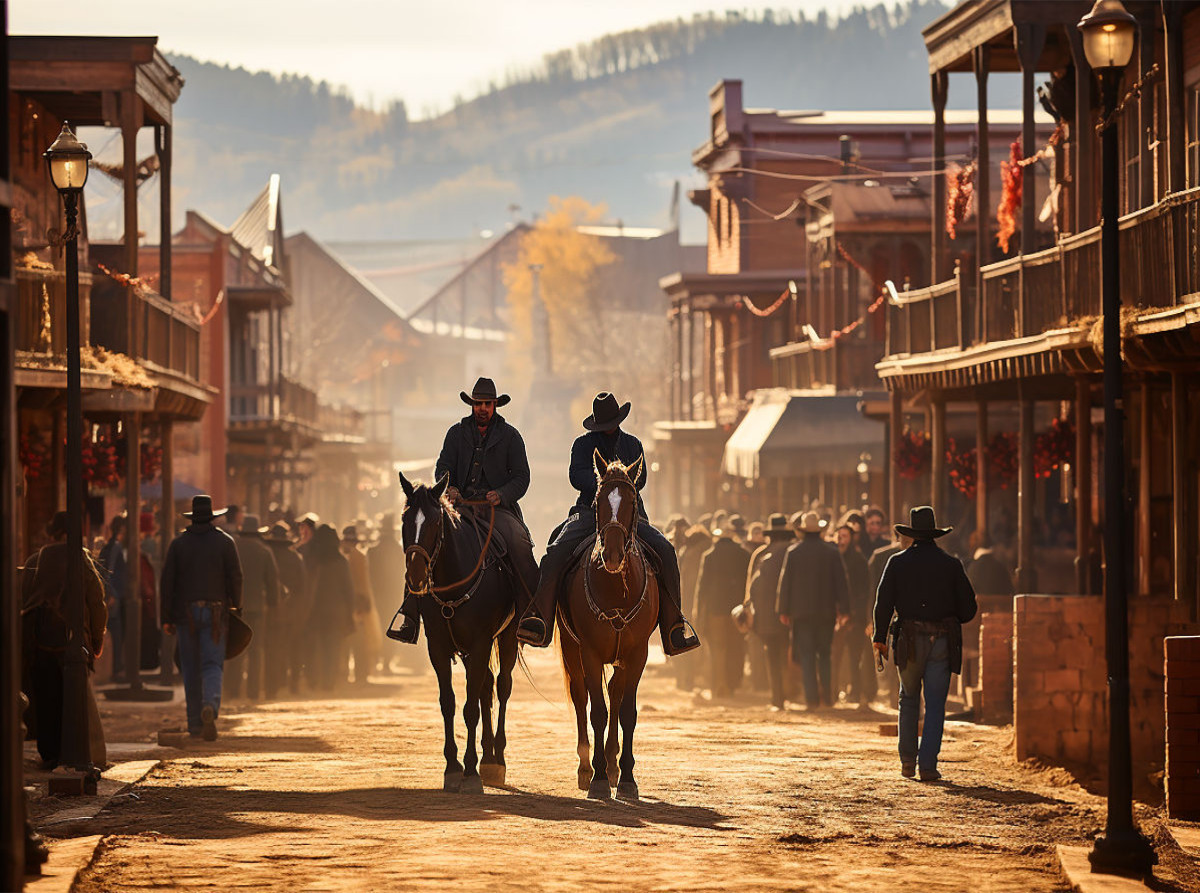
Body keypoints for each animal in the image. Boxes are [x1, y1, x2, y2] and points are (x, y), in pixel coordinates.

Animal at [400, 470, 518, 792]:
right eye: (405, 520)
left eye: (434, 522)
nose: (416, 576)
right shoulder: (439, 648)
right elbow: (449, 703)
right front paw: (453, 767)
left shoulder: (479, 643)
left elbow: (470, 708)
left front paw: (470, 770)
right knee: (486, 688)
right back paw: (488, 757)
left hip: (508, 636)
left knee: (502, 686)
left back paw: (497, 759)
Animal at [556, 453, 662, 801]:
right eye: (600, 500)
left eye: (631, 501)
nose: (612, 556)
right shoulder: (588, 653)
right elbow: (597, 712)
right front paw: (599, 779)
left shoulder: (637, 654)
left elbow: (626, 712)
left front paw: (626, 778)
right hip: (570, 648)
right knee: (580, 697)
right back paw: (586, 767)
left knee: (615, 694)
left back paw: (614, 765)